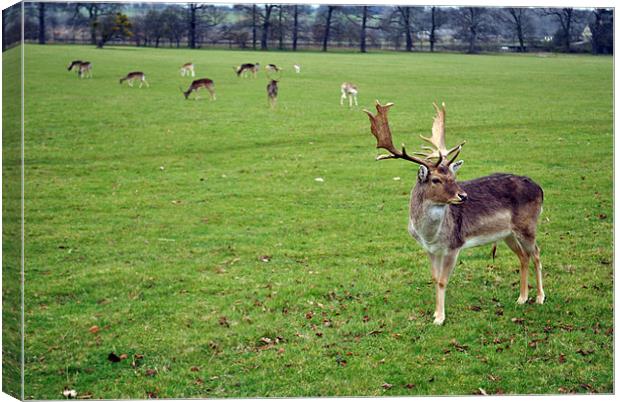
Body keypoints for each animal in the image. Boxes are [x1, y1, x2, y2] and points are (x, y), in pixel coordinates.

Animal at [366, 102, 544, 326]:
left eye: (454, 176)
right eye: (436, 179)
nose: (463, 195)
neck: (430, 235)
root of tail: (540, 189)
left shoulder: (454, 245)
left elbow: (443, 280)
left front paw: (440, 318)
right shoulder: (429, 249)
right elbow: (434, 278)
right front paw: (435, 314)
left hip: (528, 225)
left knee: (536, 253)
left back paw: (540, 297)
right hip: (507, 234)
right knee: (523, 256)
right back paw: (521, 298)